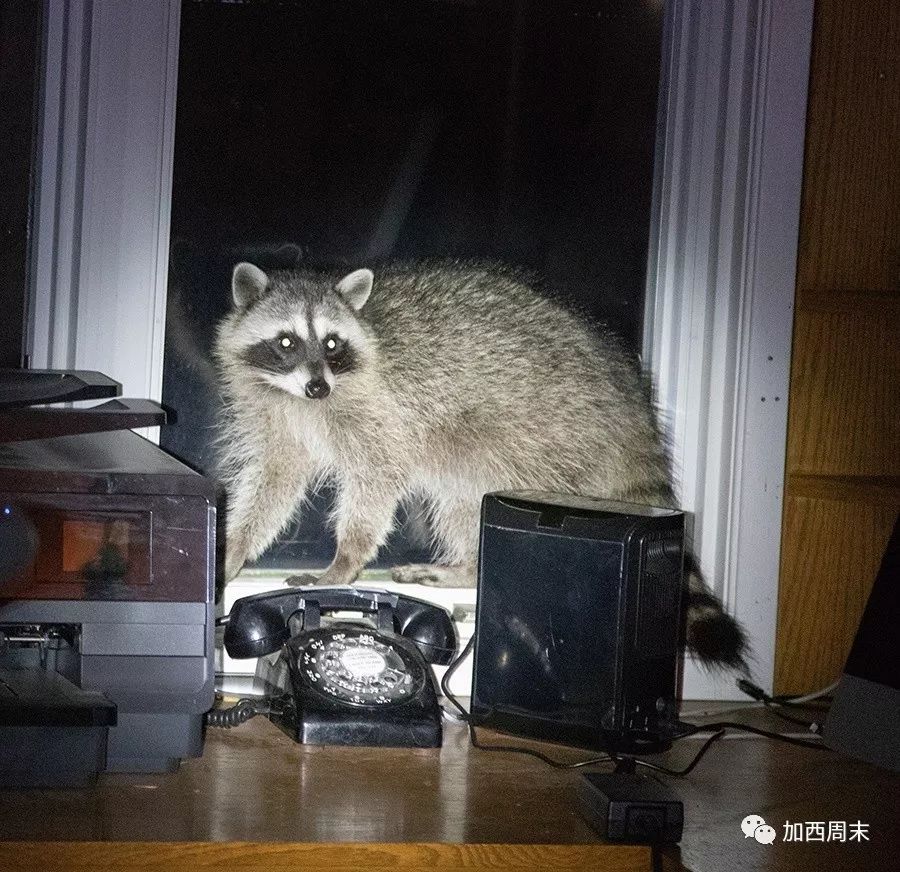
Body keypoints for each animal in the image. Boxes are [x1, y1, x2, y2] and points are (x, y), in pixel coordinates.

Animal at [214, 258, 748, 668]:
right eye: (286, 342)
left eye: (331, 343)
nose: (319, 386)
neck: (299, 397)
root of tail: (624, 385)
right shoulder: (278, 422)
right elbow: (273, 482)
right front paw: (234, 546)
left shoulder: (381, 414)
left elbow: (378, 478)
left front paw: (347, 557)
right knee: (462, 502)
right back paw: (468, 566)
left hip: (543, 434)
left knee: (478, 494)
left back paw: (469, 567)